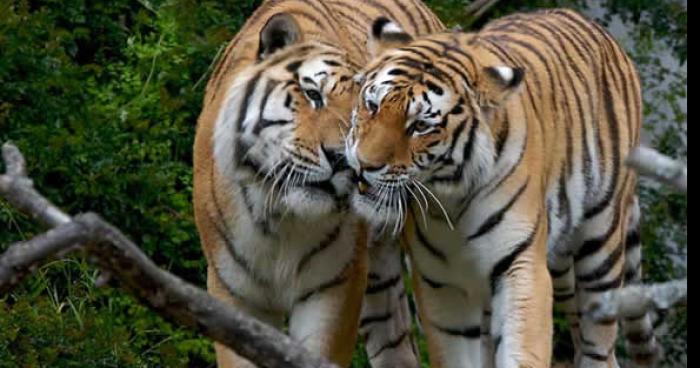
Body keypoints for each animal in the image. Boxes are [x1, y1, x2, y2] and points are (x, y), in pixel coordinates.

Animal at [191, 1, 442, 366]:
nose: (341, 159)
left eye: (365, 112)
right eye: (313, 95)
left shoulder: (335, 286)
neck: (279, 218)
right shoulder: (232, 292)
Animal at [348, 8, 660, 368]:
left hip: (601, 242)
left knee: (600, 342)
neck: (450, 201)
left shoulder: (521, 266)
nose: (363, 165)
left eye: (421, 126)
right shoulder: (440, 281)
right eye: (372, 105)